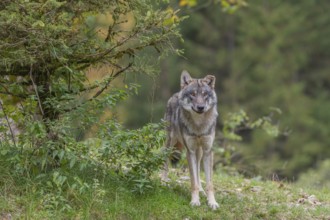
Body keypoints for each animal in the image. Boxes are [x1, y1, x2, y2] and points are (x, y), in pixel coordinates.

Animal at [162, 70, 219, 210]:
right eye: (193, 94)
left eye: (204, 94)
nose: (200, 107)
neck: (198, 125)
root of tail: (176, 93)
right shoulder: (190, 151)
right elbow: (193, 182)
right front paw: (194, 201)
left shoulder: (208, 151)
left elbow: (209, 183)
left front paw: (212, 202)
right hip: (170, 143)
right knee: (165, 161)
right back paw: (163, 181)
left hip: (200, 152)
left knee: (198, 170)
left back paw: (202, 191)